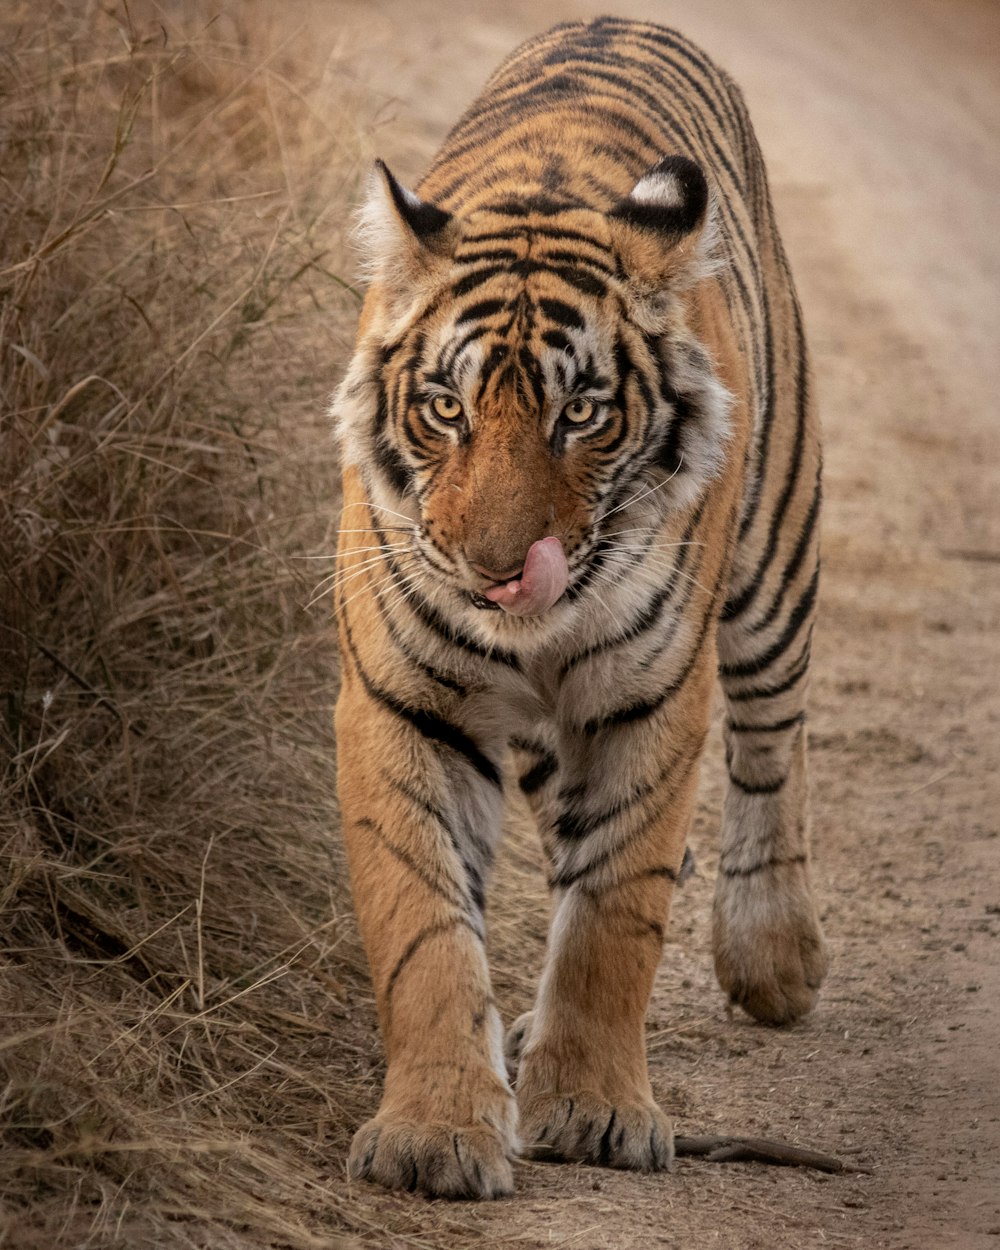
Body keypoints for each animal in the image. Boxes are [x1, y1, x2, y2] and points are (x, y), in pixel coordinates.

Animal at [332, 12, 825, 1200]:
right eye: (446, 407)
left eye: (584, 415)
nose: (499, 569)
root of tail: (625, 16)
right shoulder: (401, 702)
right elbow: (423, 925)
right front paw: (433, 1132)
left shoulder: (650, 701)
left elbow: (613, 915)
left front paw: (596, 1109)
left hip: (776, 550)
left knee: (772, 736)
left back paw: (772, 953)